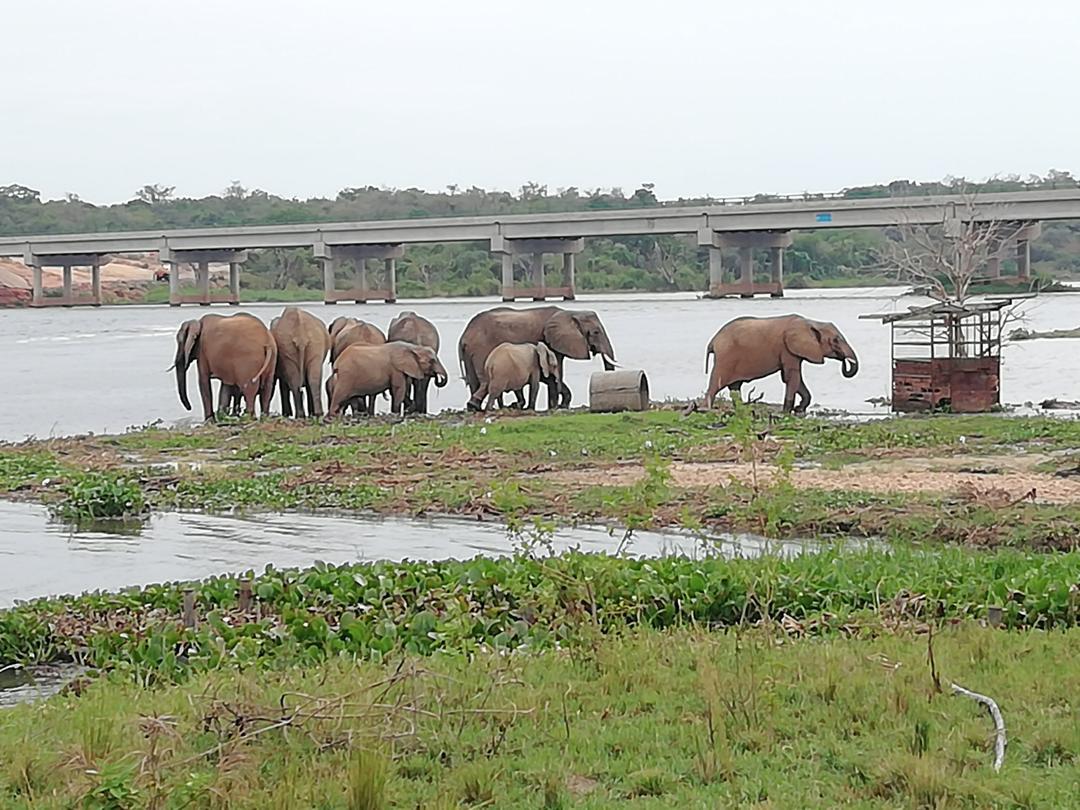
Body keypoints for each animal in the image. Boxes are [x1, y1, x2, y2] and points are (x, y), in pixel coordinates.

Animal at [458, 306, 616, 411]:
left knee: (474, 381)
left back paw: (475, 407)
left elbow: (551, 376)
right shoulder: (550, 341)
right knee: (485, 381)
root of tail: (464, 337)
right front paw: (556, 406)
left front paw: (558, 405)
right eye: (596, 332)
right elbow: (554, 375)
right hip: (481, 349)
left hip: (470, 354)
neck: (571, 312)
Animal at [704, 315, 858, 414]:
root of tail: (713, 340)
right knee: (716, 384)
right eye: (836, 341)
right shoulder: (787, 348)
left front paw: (798, 409)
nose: (844, 360)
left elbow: (794, 377)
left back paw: (741, 410)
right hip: (725, 357)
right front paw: (787, 412)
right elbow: (792, 376)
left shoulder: (793, 351)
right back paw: (706, 409)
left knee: (735, 387)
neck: (811, 322)